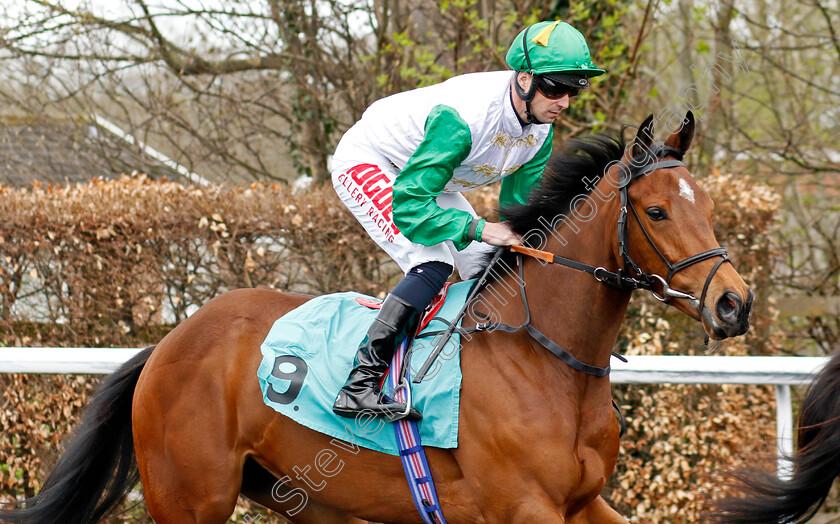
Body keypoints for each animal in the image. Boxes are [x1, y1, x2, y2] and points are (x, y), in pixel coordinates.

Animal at [0, 111, 756, 524]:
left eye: (709, 204)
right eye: (656, 211)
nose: (735, 301)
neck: (544, 358)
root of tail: (164, 346)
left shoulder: (583, 503)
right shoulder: (524, 506)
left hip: (305, 498)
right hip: (191, 499)